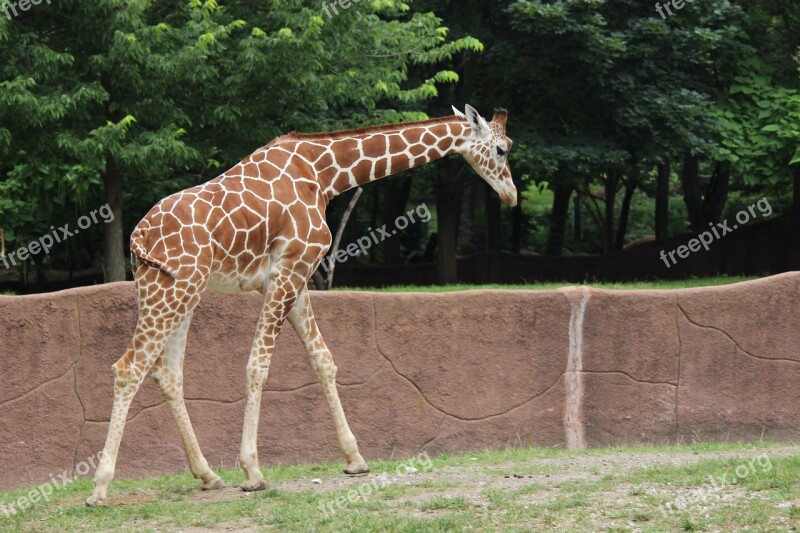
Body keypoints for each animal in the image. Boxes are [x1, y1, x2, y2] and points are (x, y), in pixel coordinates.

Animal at [84, 103, 516, 502]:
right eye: (502, 149)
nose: (510, 196)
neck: (325, 175)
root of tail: (137, 238)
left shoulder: (296, 278)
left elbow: (323, 358)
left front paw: (354, 459)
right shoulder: (288, 270)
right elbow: (257, 365)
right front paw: (252, 471)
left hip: (172, 290)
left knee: (167, 372)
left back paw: (207, 475)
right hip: (173, 289)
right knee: (129, 367)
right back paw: (100, 487)